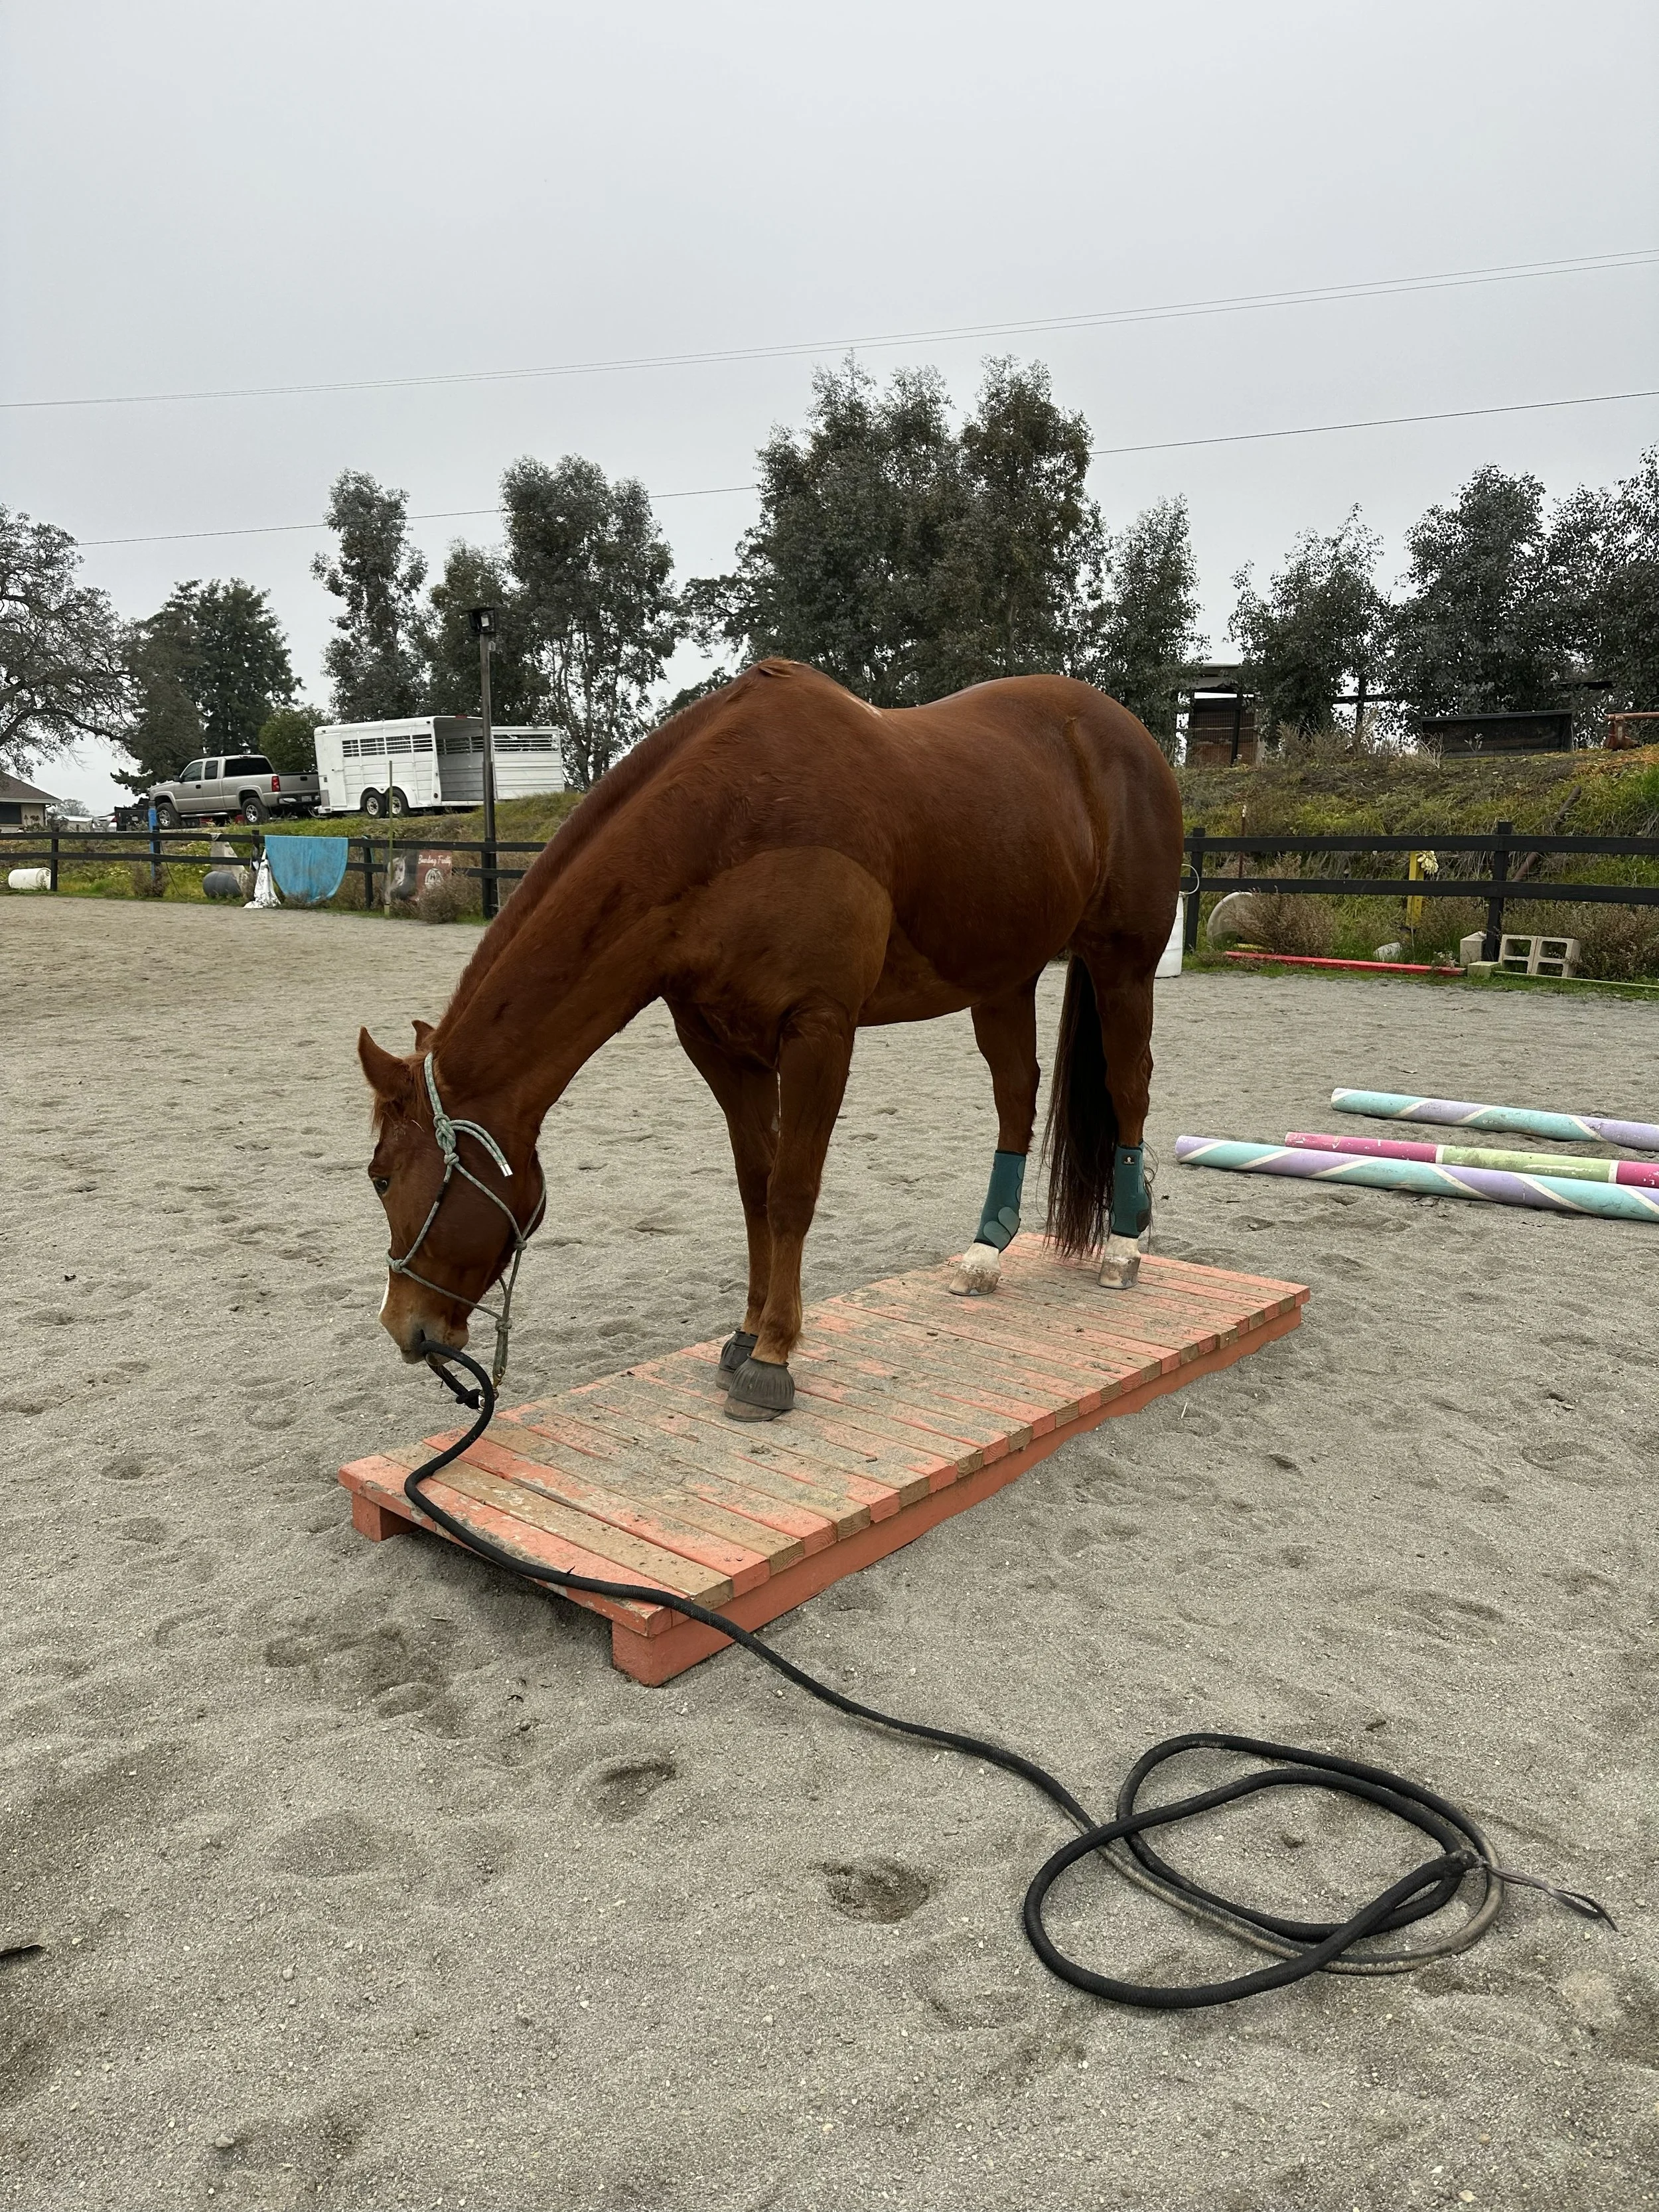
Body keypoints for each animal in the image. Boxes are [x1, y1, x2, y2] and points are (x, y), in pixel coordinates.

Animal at [358, 658, 1183, 1421]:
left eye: (381, 1178)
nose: (405, 1327)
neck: (730, 823)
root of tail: (1123, 731)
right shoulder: (721, 1046)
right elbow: (755, 1188)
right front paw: (747, 1332)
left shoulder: (818, 1033)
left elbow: (791, 1191)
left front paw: (774, 1356)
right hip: (1003, 977)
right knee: (1017, 1094)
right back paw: (984, 1256)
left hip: (1121, 963)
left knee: (1127, 1085)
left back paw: (1122, 1244)